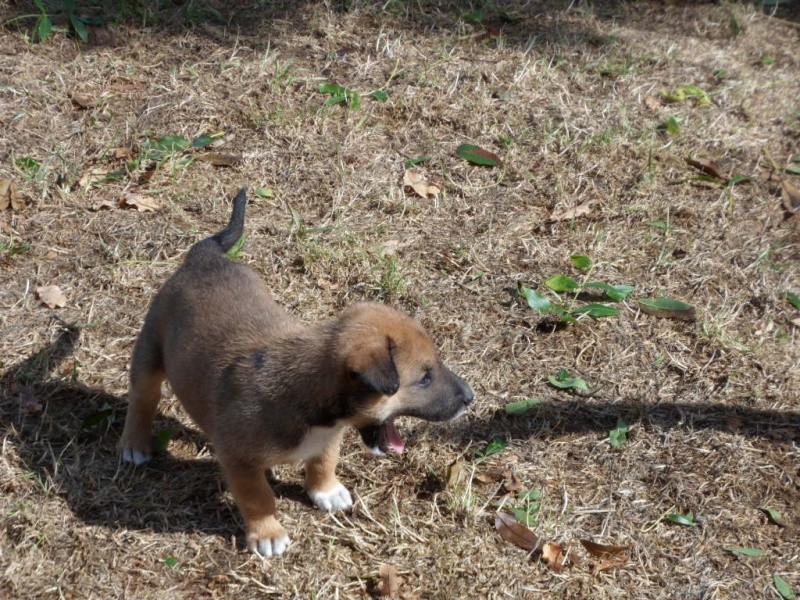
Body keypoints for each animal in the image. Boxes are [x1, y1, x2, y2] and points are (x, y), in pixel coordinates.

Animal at [115, 189, 472, 556]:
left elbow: (323, 460)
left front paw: (325, 490)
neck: (309, 396)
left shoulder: (330, 436)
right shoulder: (239, 460)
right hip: (149, 353)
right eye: (425, 378)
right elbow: (259, 497)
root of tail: (205, 256)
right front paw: (268, 533)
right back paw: (135, 444)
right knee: (143, 398)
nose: (469, 398)